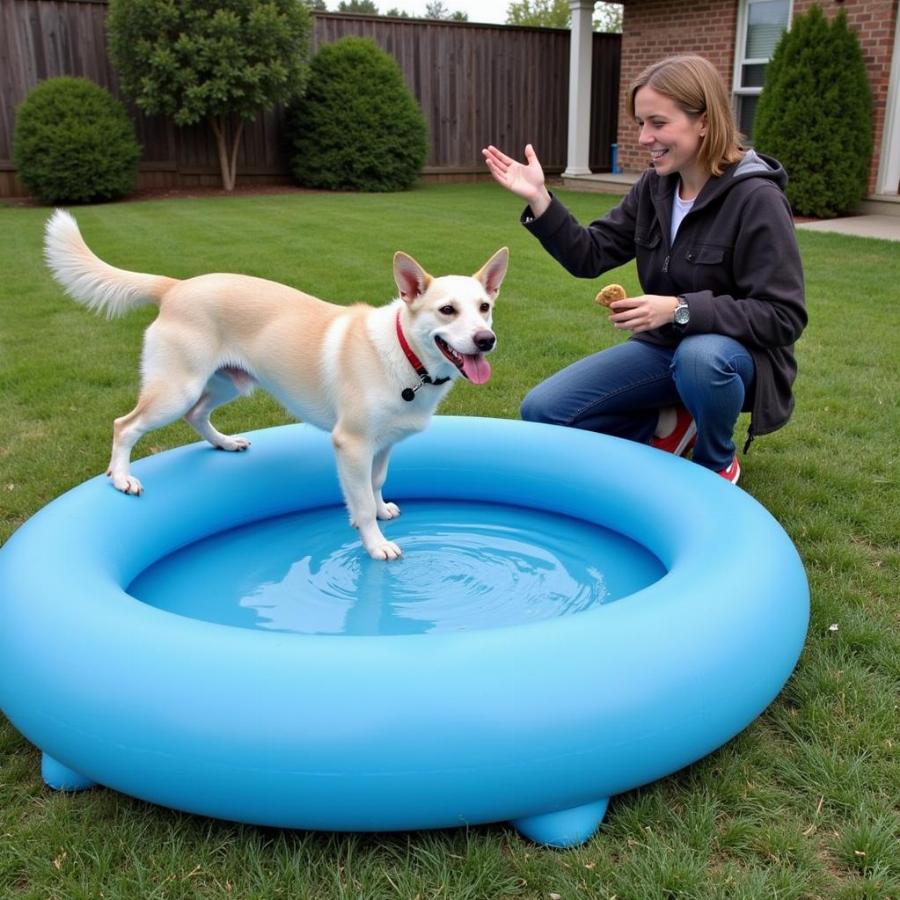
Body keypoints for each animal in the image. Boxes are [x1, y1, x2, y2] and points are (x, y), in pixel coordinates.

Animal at [45, 213, 506, 564]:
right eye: (447, 310)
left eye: (485, 307)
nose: (486, 340)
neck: (405, 354)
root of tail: (175, 286)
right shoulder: (351, 444)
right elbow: (358, 501)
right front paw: (375, 543)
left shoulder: (383, 444)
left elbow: (376, 482)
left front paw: (381, 508)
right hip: (176, 388)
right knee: (125, 425)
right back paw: (122, 477)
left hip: (228, 384)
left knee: (197, 414)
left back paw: (224, 444)